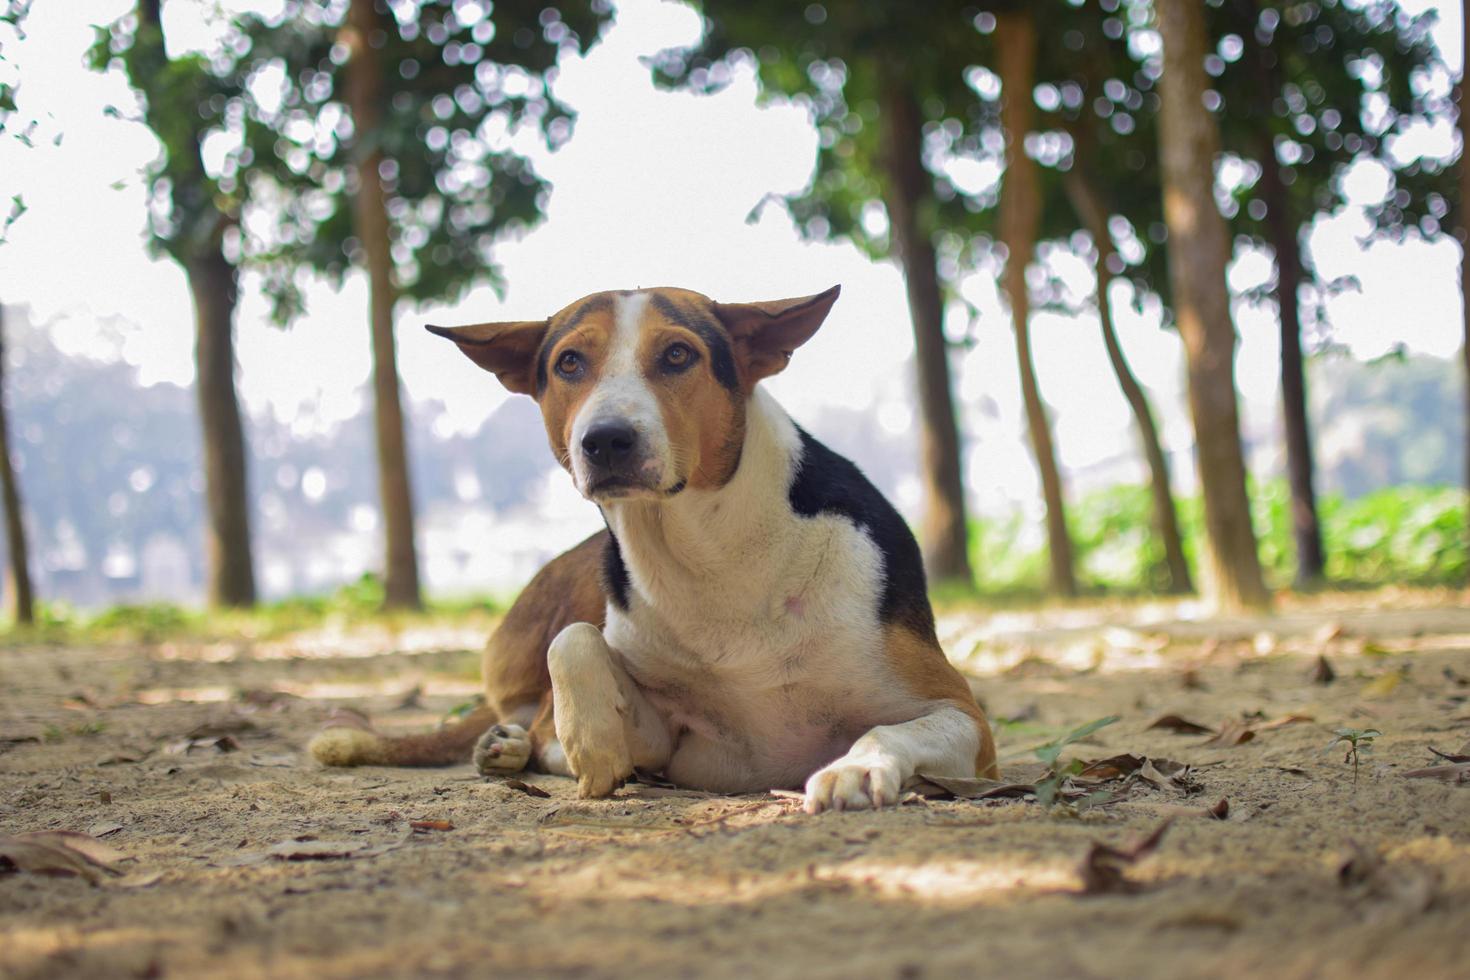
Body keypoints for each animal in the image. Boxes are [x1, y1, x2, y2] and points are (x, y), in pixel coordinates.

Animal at [308, 283, 999, 811]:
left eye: (677, 354)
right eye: (568, 363)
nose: (606, 440)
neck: (712, 553)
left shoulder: (964, 718)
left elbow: (890, 728)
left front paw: (856, 768)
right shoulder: (671, 745)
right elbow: (576, 644)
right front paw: (594, 746)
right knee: (543, 704)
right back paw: (514, 743)